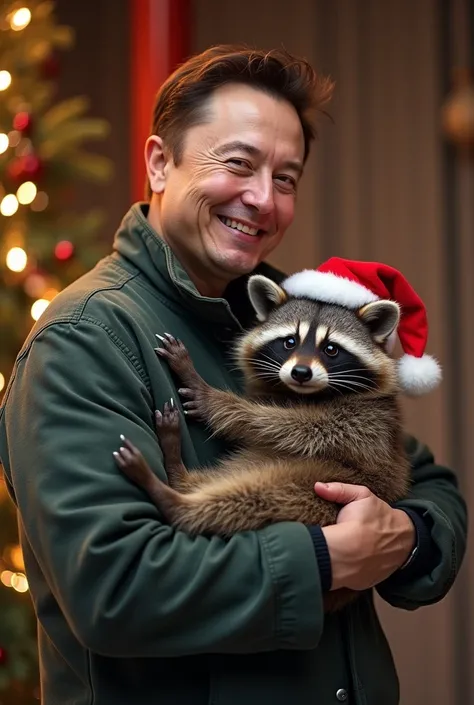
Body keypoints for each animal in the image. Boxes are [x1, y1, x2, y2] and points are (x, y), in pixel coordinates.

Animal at [114, 272, 412, 608]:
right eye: (290, 341)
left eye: (331, 349)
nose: (300, 372)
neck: (304, 394)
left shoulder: (361, 424)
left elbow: (281, 425)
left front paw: (210, 397)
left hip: (315, 493)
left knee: (256, 497)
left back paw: (174, 498)